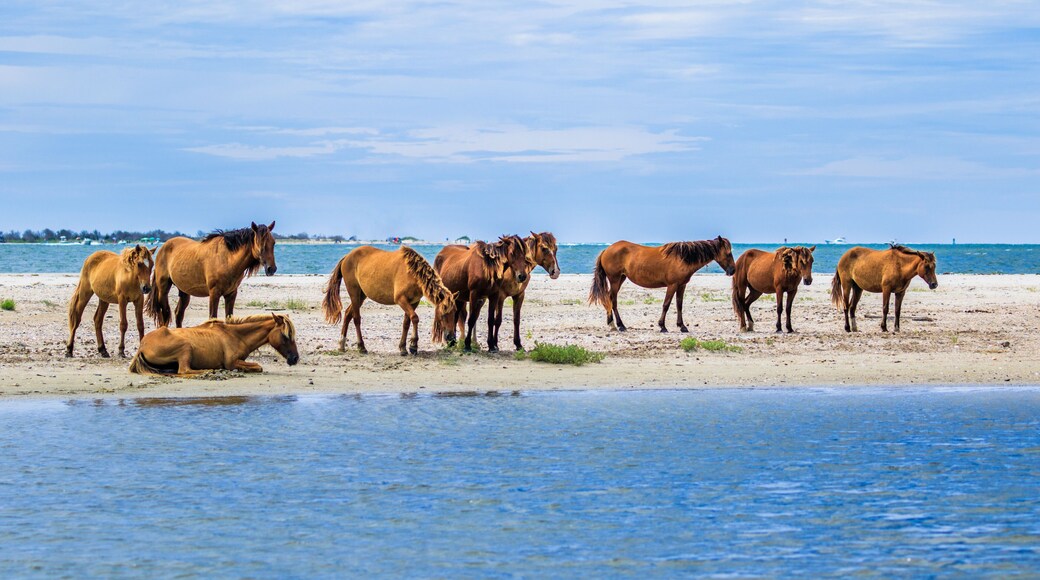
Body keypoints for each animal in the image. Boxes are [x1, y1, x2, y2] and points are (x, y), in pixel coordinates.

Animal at [128, 313, 299, 376]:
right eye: (285, 335)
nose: (295, 358)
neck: (236, 335)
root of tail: (142, 346)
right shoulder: (231, 362)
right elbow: (258, 366)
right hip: (186, 347)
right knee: (184, 371)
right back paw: (210, 371)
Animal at [146, 221, 277, 328]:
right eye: (260, 244)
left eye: (273, 243)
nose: (272, 269)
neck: (227, 258)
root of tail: (163, 247)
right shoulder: (214, 293)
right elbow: (212, 318)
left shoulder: (231, 294)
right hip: (163, 289)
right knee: (165, 314)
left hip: (184, 292)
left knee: (178, 314)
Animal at [321, 246, 459, 355]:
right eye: (443, 314)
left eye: (454, 313)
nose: (451, 338)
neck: (413, 273)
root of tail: (346, 257)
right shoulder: (401, 299)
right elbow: (415, 318)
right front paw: (413, 346)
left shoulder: (413, 302)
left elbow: (406, 323)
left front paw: (403, 348)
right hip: (354, 293)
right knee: (356, 319)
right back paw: (361, 347)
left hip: (361, 295)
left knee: (348, 314)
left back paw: (341, 345)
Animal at [589, 236, 737, 332]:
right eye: (728, 253)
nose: (732, 270)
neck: (682, 258)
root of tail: (606, 250)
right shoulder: (672, 285)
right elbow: (666, 304)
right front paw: (662, 326)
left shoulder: (681, 285)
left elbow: (679, 305)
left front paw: (682, 326)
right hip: (614, 279)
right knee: (613, 300)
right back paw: (619, 325)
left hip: (621, 279)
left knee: (609, 298)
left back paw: (612, 323)